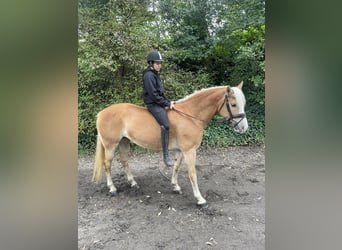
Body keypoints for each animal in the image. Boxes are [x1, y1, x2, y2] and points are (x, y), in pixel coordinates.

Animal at [93, 82, 248, 205]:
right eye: (233, 104)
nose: (244, 128)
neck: (191, 115)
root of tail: (101, 113)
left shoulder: (181, 150)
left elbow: (176, 167)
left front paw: (175, 186)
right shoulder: (189, 151)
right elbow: (192, 173)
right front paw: (199, 198)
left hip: (124, 142)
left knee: (124, 161)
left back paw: (133, 183)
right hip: (110, 145)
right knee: (107, 164)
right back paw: (112, 188)